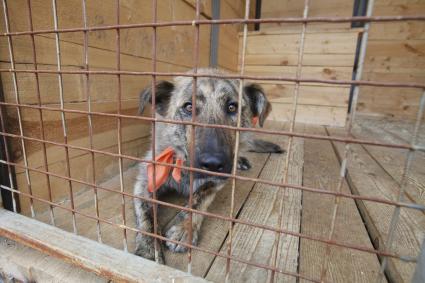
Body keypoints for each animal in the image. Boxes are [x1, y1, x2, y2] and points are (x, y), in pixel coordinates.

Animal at [134, 67, 284, 262]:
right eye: (188, 107)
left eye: (232, 107)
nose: (213, 163)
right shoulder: (145, 182)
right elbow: (146, 216)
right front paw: (148, 251)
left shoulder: (217, 182)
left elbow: (199, 199)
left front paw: (184, 228)